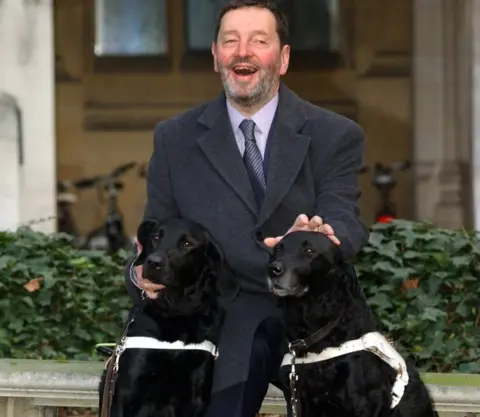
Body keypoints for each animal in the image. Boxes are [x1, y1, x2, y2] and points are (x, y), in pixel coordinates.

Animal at [99, 218, 225, 416]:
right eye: (156, 237)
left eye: (186, 244)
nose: (153, 262)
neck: (175, 312)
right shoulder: (125, 394)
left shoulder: (194, 398)